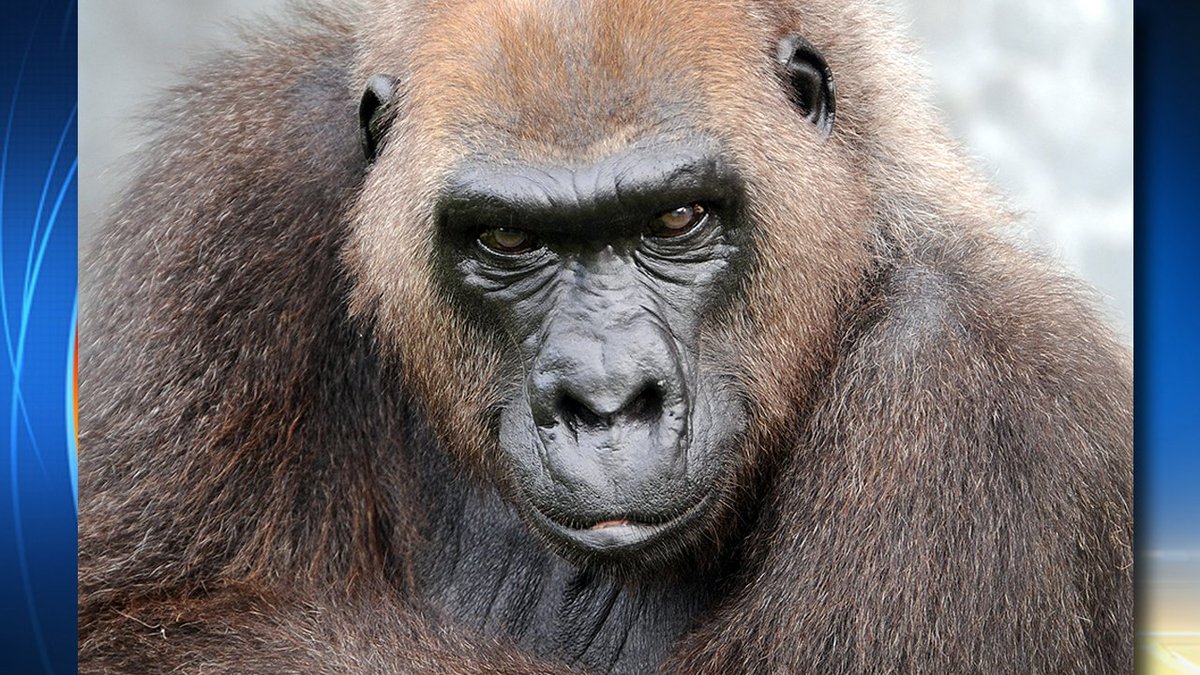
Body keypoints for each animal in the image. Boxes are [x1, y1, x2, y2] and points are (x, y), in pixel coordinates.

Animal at [78, 0, 1133, 673]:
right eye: (508, 238)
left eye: (677, 219)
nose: (605, 398)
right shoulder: (244, 181)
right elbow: (131, 623)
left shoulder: (974, 374)